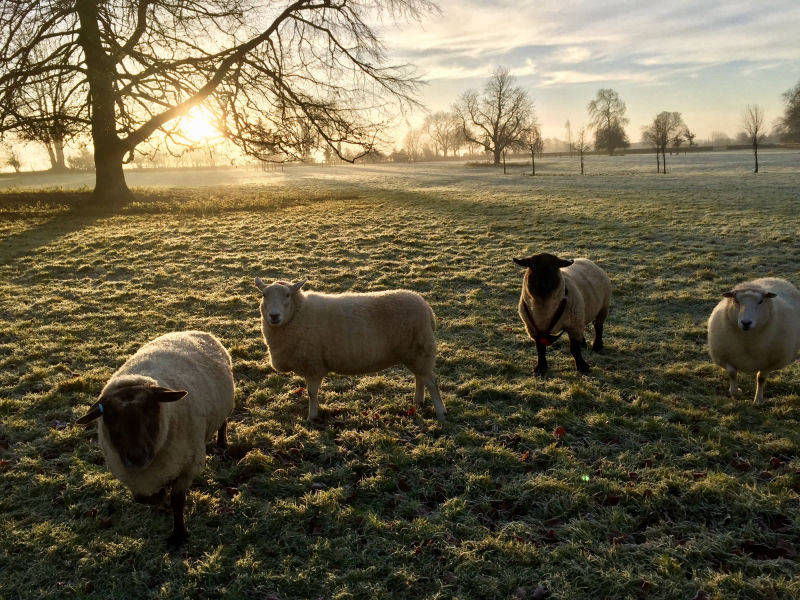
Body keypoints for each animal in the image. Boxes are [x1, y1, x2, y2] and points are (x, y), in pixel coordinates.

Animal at [76, 330, 234, 548]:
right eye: (110, 418)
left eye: (151, 410)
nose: (136, 457)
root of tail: (194, 331)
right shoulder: (136, 481)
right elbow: (149, 498)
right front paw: (161, 500)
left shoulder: (189, 467)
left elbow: (177, 501)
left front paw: (179, 535)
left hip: (224, 408)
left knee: (223, 422)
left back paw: (222, 443)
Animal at [255, 278, 446, 422]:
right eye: (264, 295)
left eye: (288, 295)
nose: (274, 316)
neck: (298, 314)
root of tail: (427, 308)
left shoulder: (313, 364)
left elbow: (311, 393)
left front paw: (312, 417)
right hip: (415, 353)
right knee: (420, 378)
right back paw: (418, 402)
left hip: (421, 350)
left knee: (431, 382)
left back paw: (440, 412)